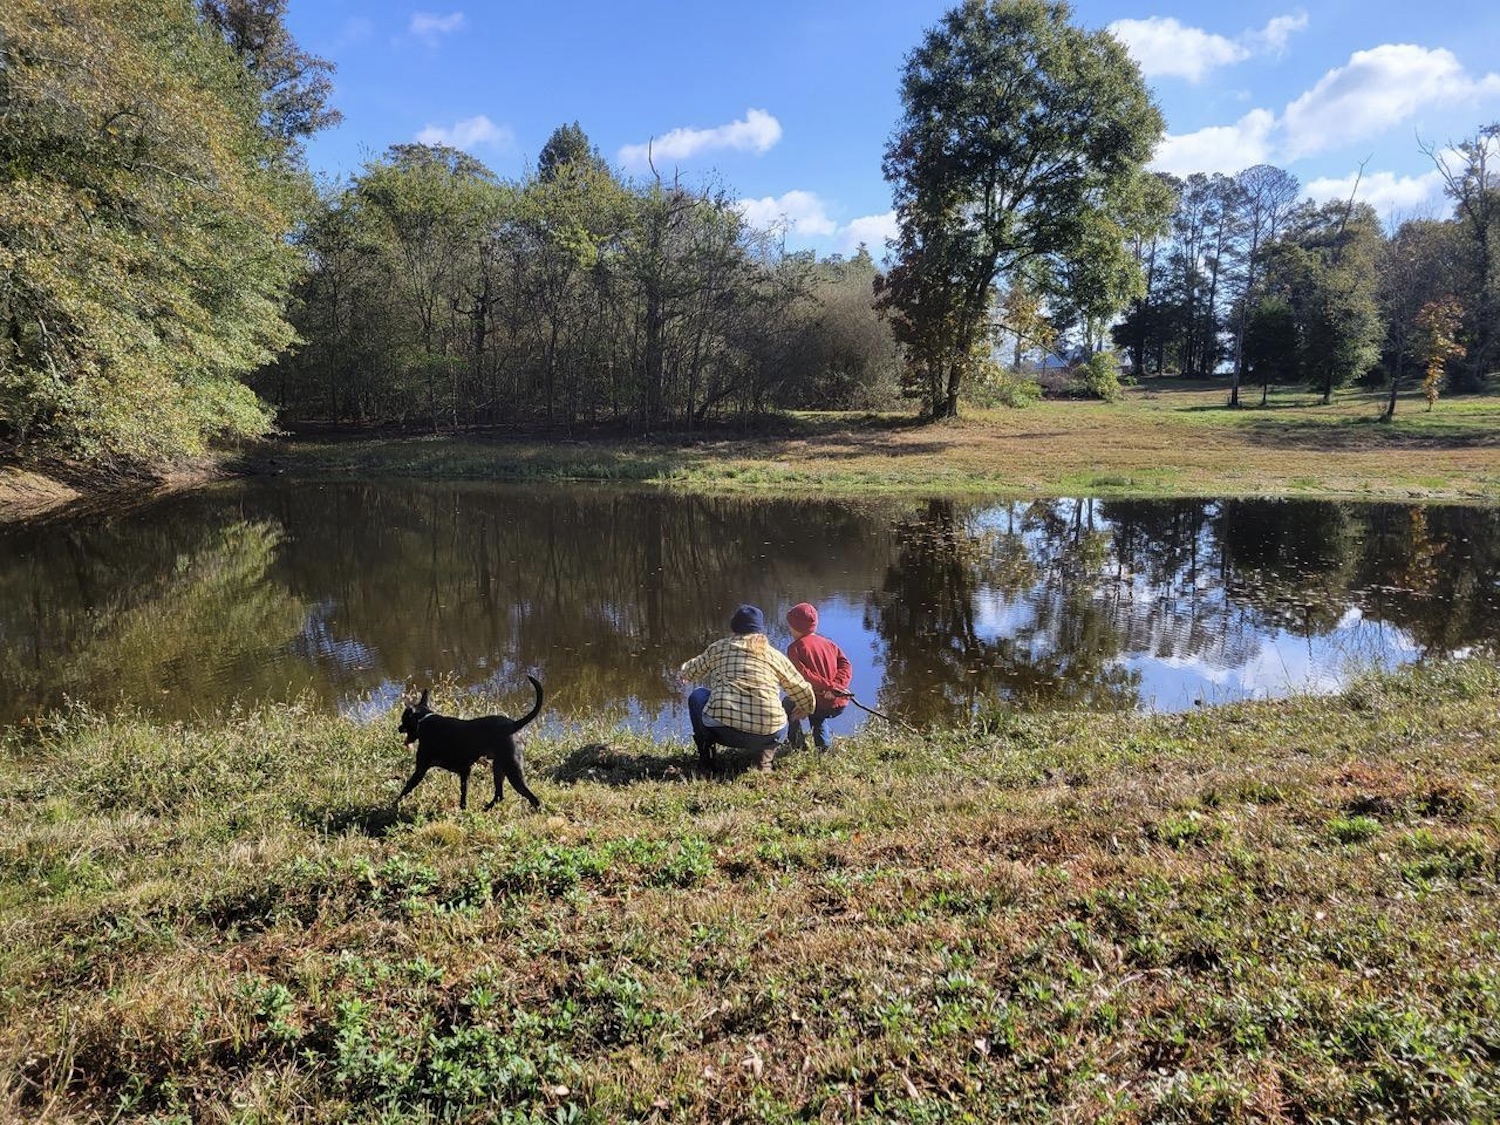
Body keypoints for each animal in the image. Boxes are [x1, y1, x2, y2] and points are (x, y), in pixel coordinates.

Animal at [396, 678, 543, 810]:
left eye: (403, 719)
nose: (398, 728)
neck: (424, 720)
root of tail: (513, 725)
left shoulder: (421, 770)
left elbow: (405, 789)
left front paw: (394, 805)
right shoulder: (464, 771)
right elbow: (463, 793)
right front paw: (463, 810)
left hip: (512, 770)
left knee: (533, 798)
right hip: (498, 767)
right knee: (499, 795)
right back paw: (485, 809)